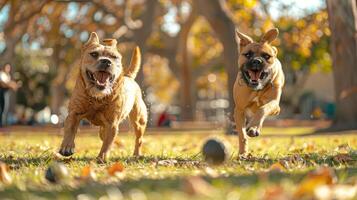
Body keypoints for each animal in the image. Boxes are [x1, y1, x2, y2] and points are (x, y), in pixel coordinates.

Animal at [58, 31, 147, 162]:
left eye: (114, 57)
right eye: (94, 54)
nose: (106, 61)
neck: (97, 97)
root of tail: (129, 77)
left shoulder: (112, 124)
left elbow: (107, 143)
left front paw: (102, 157)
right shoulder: (74, 113)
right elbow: (70, 129)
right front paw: (67, 147)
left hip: (138, 121)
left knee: (138, 139)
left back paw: (136, 154)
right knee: (102, 135)